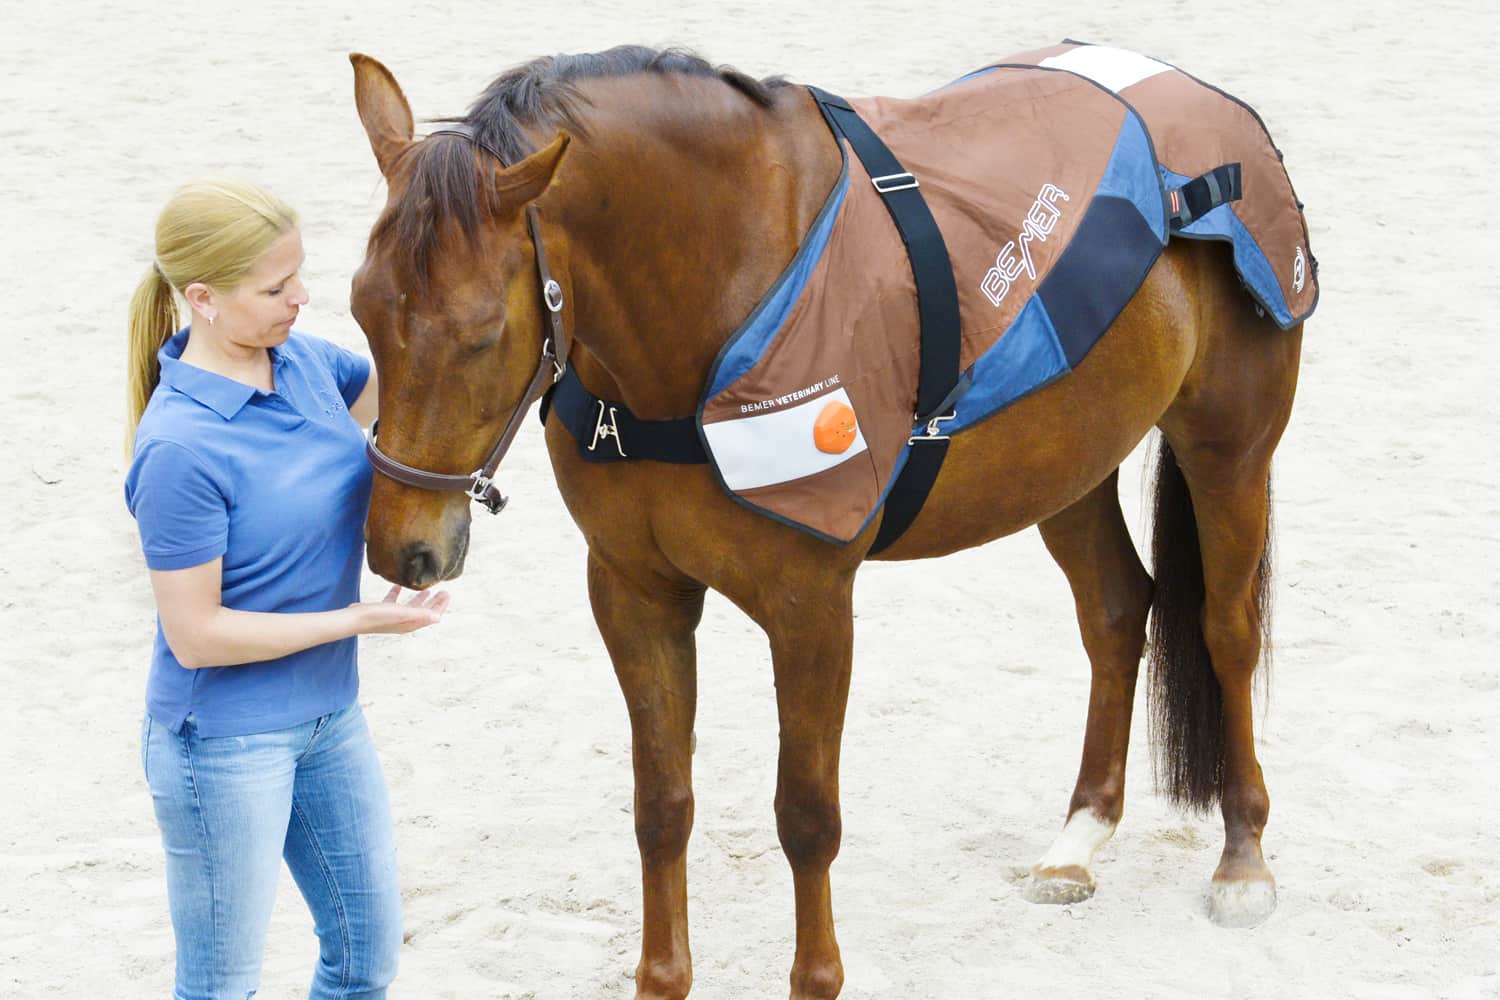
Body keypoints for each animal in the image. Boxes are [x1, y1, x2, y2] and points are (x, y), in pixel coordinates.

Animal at [347, 45, 1305, 1000]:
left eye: (481, 335)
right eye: (360, 309)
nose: (403, 547)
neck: (719, 299)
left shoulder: (810, 604)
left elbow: (806, 814)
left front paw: (814, 977)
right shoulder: (632, 591)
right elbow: (661, 804)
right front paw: (663, 978)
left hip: (1228, 449)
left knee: (1226, 630)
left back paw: (1243, 859)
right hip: (1066, 460)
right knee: (1114, 611)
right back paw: (1079, 840)